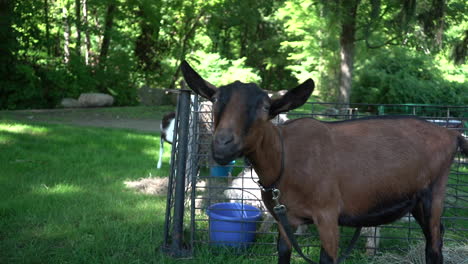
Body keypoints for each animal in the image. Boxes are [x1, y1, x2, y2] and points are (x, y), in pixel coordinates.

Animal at [181, 60, 468, 264]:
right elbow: (283, 254)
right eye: (215, 100)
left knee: (434, 245)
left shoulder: (328, 216)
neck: (286, 159)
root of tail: (451, 134)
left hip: (434, 194)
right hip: (416, 200)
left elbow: (326, 258)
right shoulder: (285, 218)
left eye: (265, 107)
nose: (222, 145)